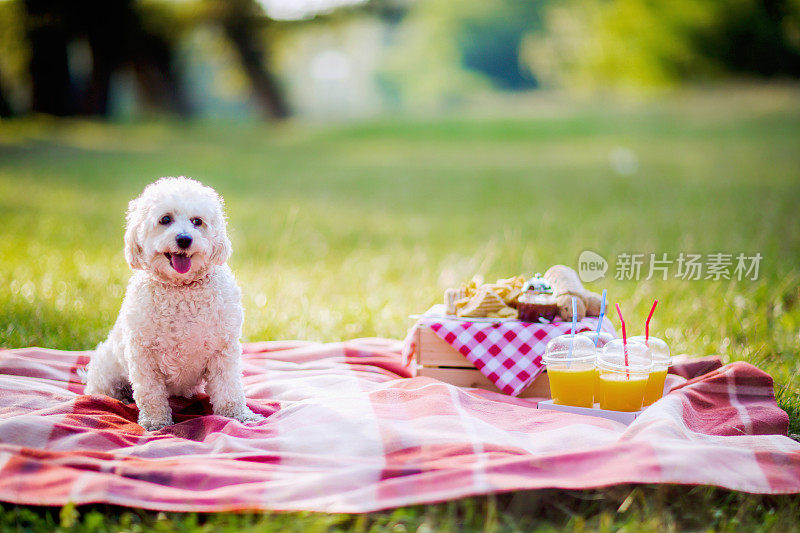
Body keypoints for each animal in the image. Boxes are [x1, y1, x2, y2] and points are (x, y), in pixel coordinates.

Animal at [86, 177, 264, 430]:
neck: (181, 289)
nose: (184, 239)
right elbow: (150, 394)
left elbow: (229, 389)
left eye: (197, 221)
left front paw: (240, 415)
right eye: (165, 219)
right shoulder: (144, 356)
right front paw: (156, 423)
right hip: (107, 370)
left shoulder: (223, 351)